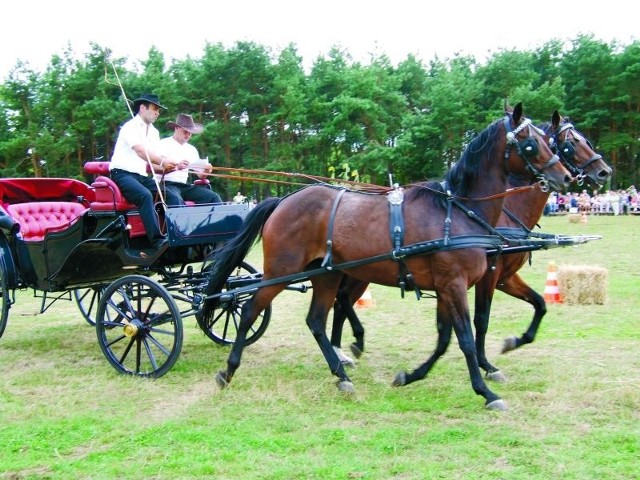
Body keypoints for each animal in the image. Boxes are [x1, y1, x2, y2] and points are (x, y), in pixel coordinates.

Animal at [204, 103, 568, 410]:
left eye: (551, 142)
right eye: (532, 144)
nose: (565, 176)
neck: (457, 211)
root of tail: (282, 200)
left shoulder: (448, 286)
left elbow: (444, 338)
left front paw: (409, 376)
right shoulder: (454, 284)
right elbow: (464, 337)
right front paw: (486, 391)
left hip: (327, 274)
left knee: (317, 321)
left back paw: (342, 376)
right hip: (281, 270)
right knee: (249, 311)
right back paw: (228, 371)